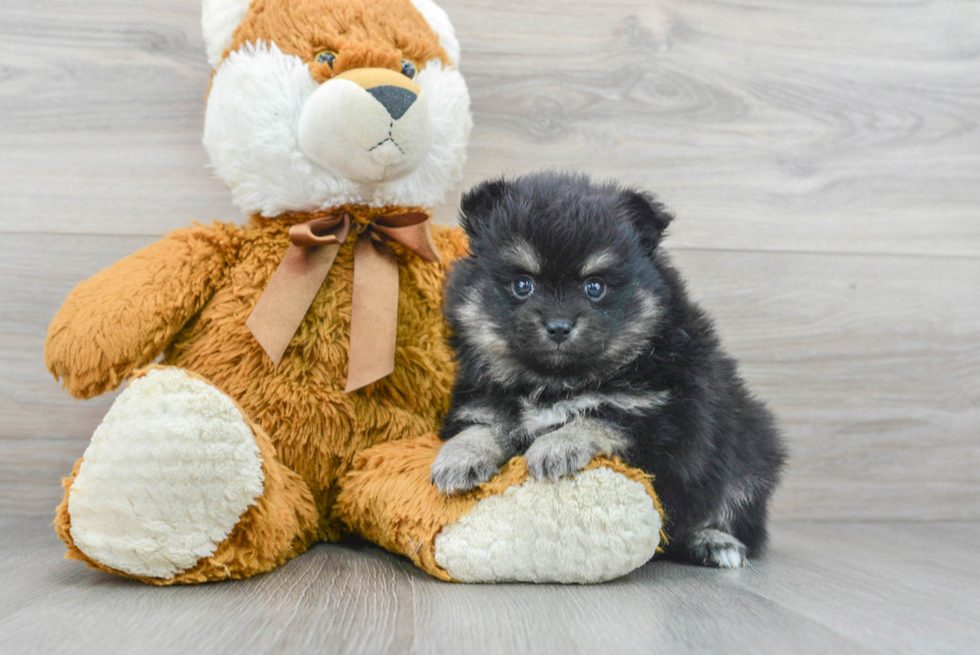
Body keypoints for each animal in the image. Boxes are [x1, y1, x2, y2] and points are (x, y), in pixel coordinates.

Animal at [428, 173, 788, 568]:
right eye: (523, 284)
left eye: (595, 287)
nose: (558, 326)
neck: (555, 383)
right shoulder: (484, 403)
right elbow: (481, 428)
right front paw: (459, 458)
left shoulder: (665, 418)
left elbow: (599, 416)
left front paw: (556, 445)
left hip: (751, 448)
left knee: (735, 512)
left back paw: (714, 541)